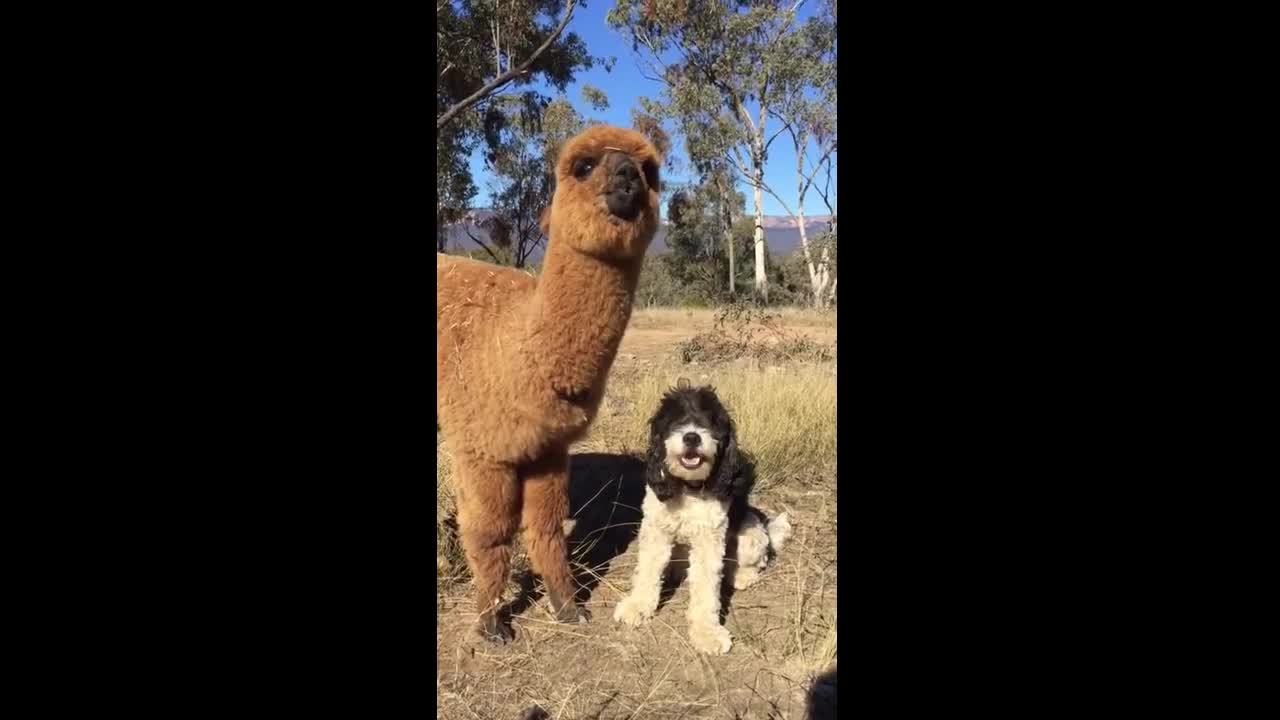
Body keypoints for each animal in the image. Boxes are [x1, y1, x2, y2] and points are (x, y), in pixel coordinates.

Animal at [611, 379, 788, 653]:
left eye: (710, 420)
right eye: (675, 420)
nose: (692, 437)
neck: (688, 487)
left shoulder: (709, 539)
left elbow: (706, 589)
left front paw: (707, 634)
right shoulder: (655, 530)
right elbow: (648, 571)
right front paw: (637, 606)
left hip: (751, 535)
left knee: (759, 560)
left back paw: (741, 576)